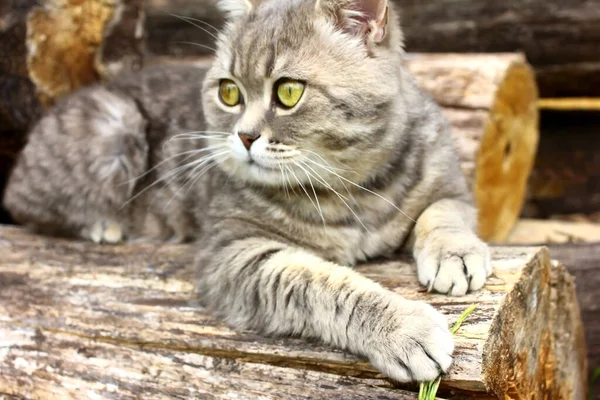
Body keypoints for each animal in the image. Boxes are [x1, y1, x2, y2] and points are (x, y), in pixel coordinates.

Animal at [3, 0, 492, 382]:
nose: (243, 136)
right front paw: (404, 327)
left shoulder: (452, 187)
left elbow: (443, 213)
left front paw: (455, 254)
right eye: (229, 92)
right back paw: (102, 225)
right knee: (27, 204)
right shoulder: (233, 254)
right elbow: (323, 283)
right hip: (112, 127)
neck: (351, 189)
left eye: (289, 92)